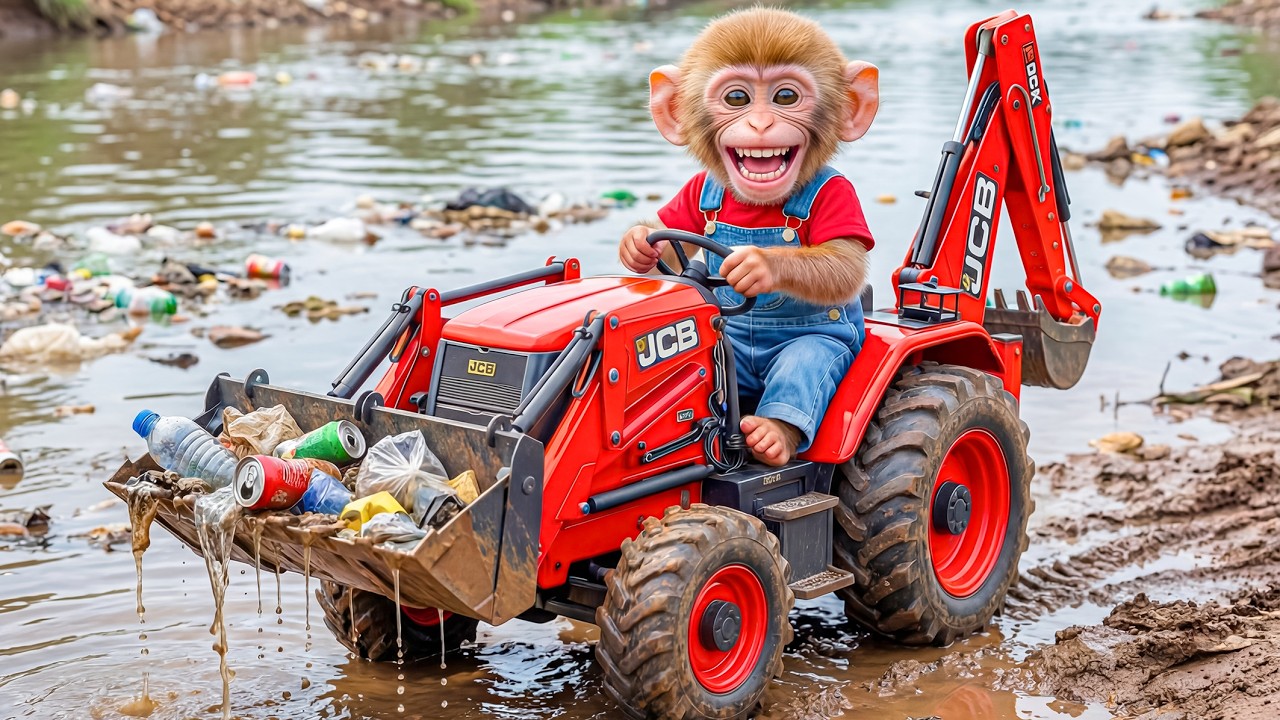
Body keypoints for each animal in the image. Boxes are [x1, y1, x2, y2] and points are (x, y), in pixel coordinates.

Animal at [618, 7, 878, 467]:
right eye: (736, 98)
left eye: (785, 97)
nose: (760, 124)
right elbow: (675, 232)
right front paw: (636, 242)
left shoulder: (839, 195)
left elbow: (844, 263)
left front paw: (757, 264)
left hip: (836, 347)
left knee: (804, 365)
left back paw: (771, 434)